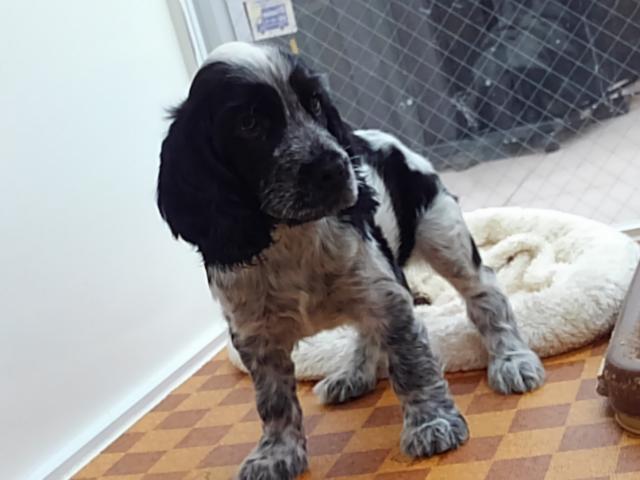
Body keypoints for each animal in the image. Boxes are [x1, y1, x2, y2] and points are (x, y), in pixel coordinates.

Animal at [157, 41, 545, 480]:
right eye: (249, 123)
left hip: (444, 235)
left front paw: (431, 423)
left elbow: (412, 365)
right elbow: (273, 401)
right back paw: (353, 375)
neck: (292, 235)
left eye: (314, 103)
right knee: (366, 329)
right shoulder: (256, 334)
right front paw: (276, 453)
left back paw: (511, 359)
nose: (334, 167)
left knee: (484, 291)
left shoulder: (388, 296)